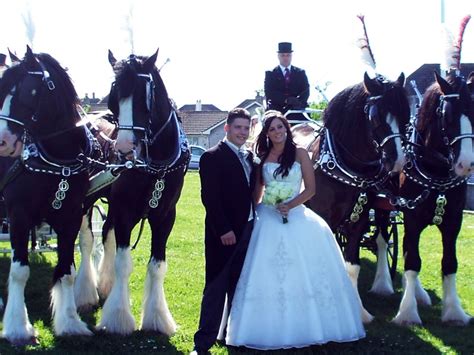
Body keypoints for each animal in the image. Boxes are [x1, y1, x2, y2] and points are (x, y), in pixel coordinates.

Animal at [0, 46, 94, 344]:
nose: (2, 141)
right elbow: (19, 271)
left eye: (26, 91)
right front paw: (18, 327)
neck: (57, 157)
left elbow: (67, 270)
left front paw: (70, 322)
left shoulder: (71, 216)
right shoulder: (18, 215)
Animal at [92, 50, 189, 336]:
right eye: (114, 96)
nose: (124, 150)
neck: (154, 164)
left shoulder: (165, 216)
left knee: (106, 233)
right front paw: (117, 318)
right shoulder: (126, 210)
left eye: (143, 96)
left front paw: (157, 318)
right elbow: (123, 262)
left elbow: (157, 266)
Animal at [298, 72, 410, 322]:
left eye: (406, 115)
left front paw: (358, 311)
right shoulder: (325, 218)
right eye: (375, 117)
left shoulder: (359, 221)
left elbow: (352, 265)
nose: (397, 162)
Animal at [392, 71, 474, 326]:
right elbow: (413, 261)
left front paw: (454, 311)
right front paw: (407, 313)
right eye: (447, 116)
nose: (466, 164)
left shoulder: (453, 221)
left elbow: (449, 263)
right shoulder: (412, 217)